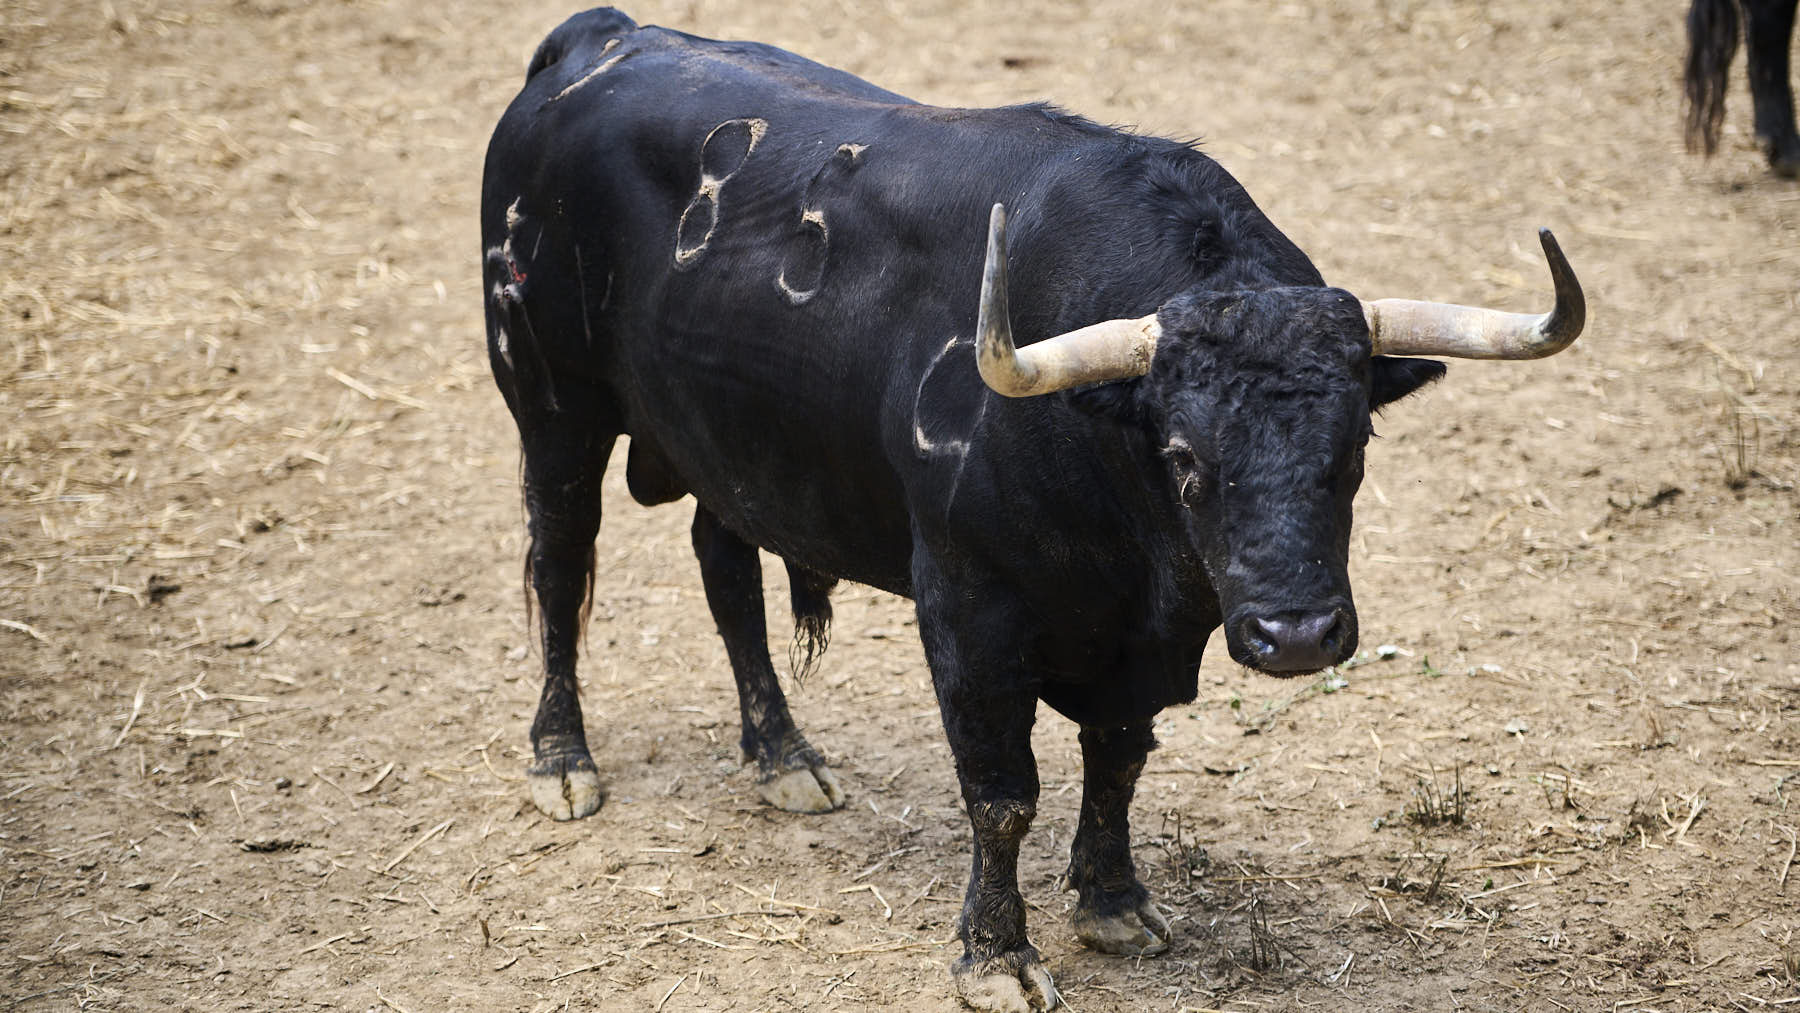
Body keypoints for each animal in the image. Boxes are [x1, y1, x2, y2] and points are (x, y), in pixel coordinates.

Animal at [482, 9, 1591, 1013]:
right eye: (1183, 456)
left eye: (1354, 446)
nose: (1298, 634)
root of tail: (597, 36)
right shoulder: (967, 611)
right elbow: (1002, 792)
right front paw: (996, 955)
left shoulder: (1138, 644)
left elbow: (1119, 757)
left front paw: (1113, 900)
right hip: (553, 406)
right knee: (558, 563)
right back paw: (563, 760)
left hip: (732, 442)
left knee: (725, 564)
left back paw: (784, 756)